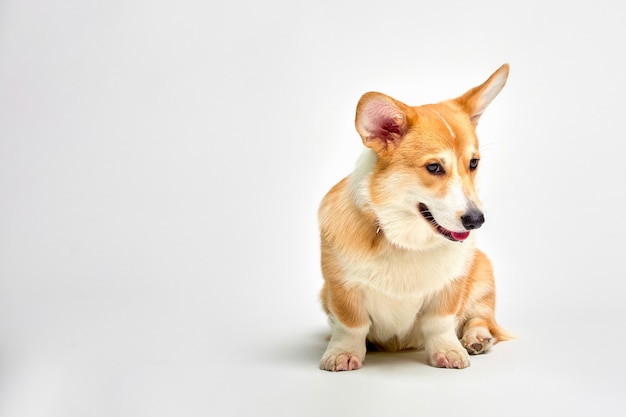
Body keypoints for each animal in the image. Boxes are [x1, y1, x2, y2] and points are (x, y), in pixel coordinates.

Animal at [320, 63, 510, 368]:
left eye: (473, 163)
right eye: (433, 167)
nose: (476, 220)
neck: (408, 240)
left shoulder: (450, 286)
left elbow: (440, 322)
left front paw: (448, 350)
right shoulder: (340, 287)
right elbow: (351, 324)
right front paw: (343, 353)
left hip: (483, 272)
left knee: (481, 316)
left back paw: (476, 338)